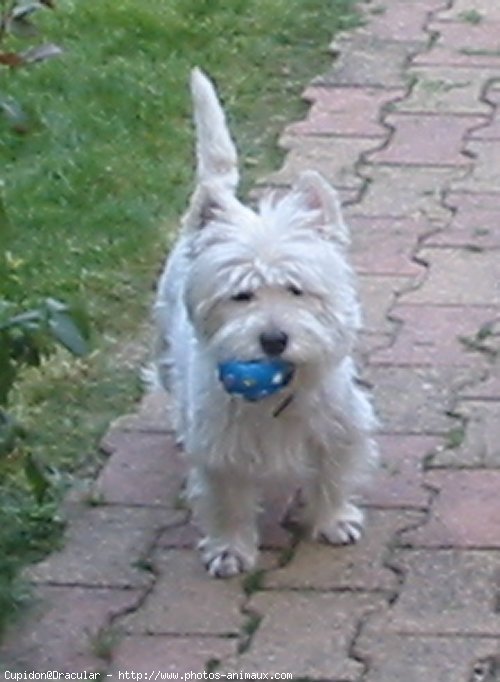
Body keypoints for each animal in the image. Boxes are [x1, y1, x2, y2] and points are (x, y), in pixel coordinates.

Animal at [154, 69, 376, 576]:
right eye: (241, 295)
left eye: (296, 289)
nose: (274, 339)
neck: (278, 391)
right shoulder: (220, 450)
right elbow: (228, 502)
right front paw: (230, 550)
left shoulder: (340, 425)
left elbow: (333, 474)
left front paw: (334, 521)